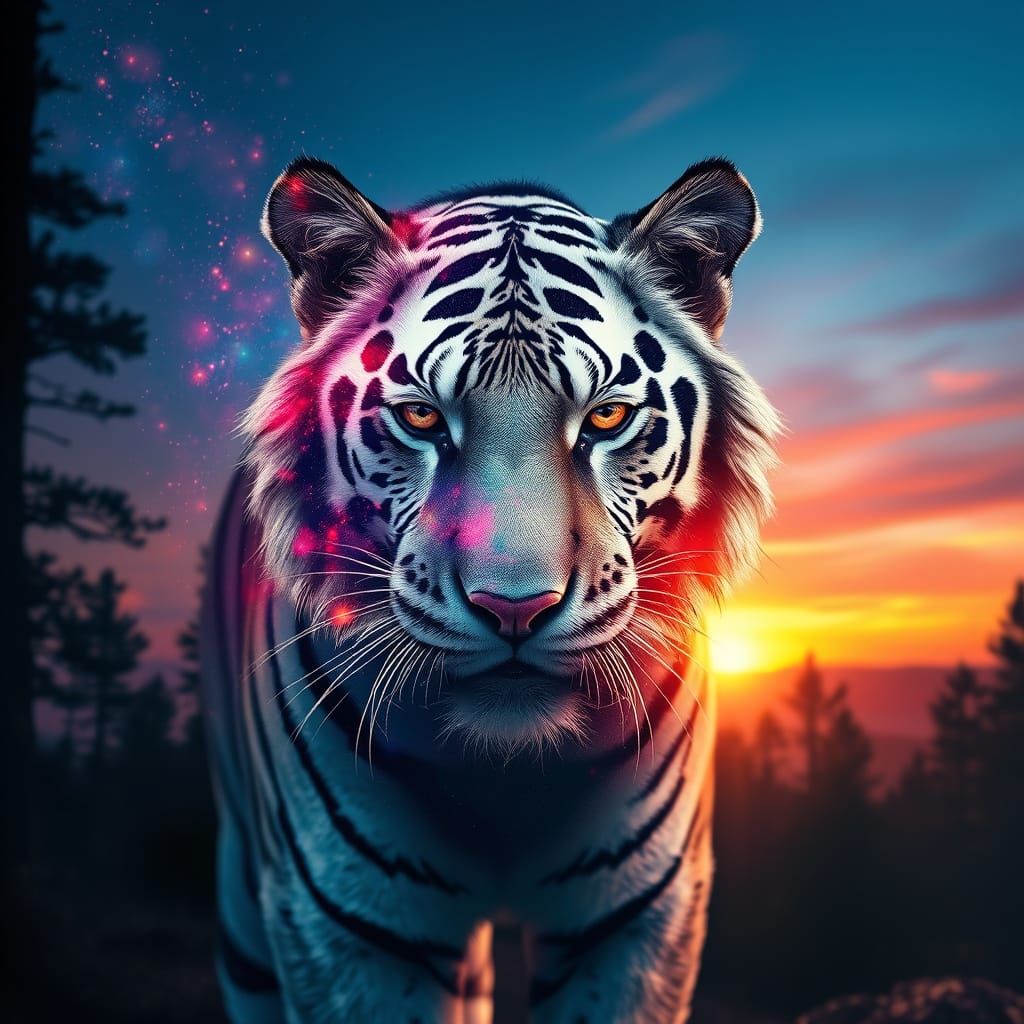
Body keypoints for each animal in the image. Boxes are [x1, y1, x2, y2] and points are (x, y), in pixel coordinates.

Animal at [199, 155, 779, 1023]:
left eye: (605, 418)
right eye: (419, 418)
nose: (515, 607)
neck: (504, 777)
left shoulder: (636, 920)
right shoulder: (349, 930)